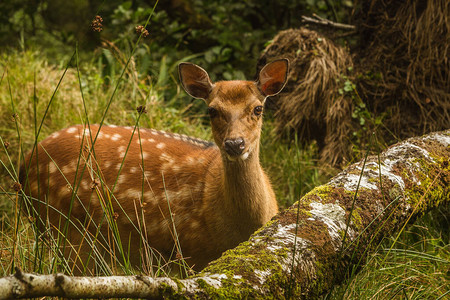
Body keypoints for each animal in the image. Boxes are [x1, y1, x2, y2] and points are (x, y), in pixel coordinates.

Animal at [20, 58, 288, 274]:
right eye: (212, 110)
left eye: (258, 108)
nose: (235, 144)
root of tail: (26, 163)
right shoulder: (191, 253)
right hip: (64, 226)